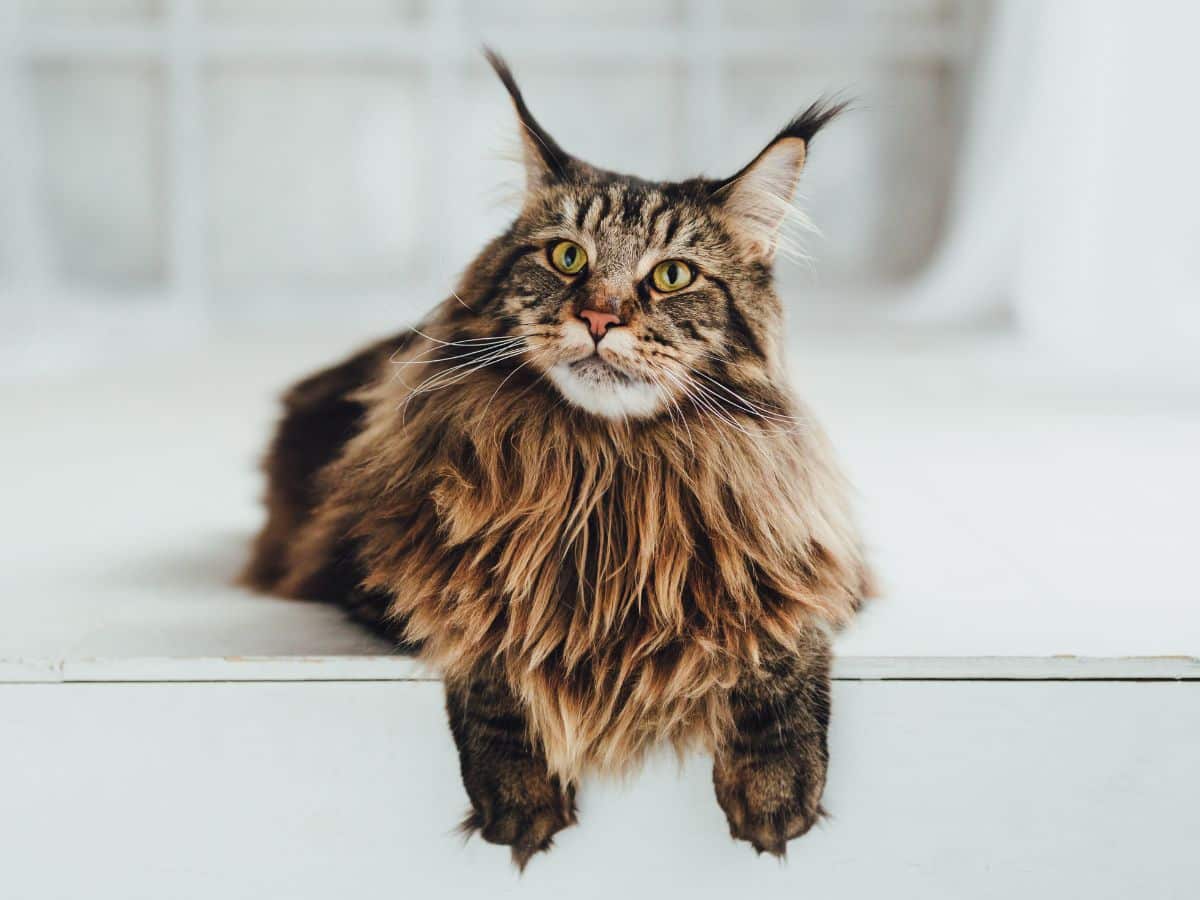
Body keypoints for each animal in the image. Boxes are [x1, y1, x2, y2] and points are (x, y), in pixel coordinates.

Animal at [241, 51, 873, 873]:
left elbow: (780, 640)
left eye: (672, 275)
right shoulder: (399, 566)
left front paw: (775, 783)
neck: (608, 469)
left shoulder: (816, 562)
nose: (599, 316)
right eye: (567, 257)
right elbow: (496, 635)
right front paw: (520, 791)